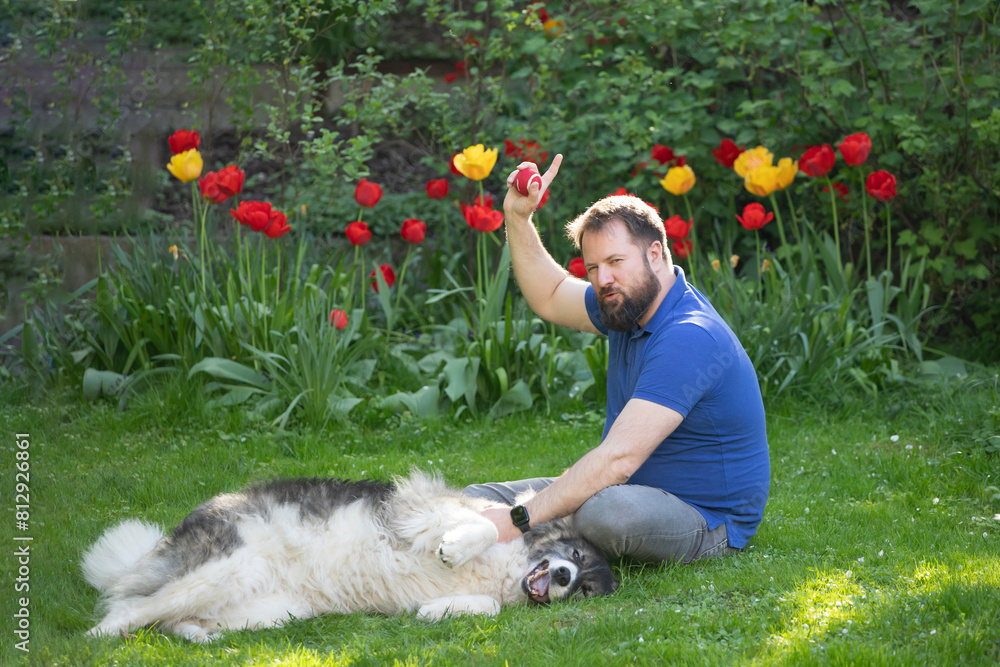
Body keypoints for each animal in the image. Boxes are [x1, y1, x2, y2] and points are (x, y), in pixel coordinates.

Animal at [84, 472, 616, 644]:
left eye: (585, 588)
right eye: (572, 554)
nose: (564, 575)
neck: (508, 570)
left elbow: (485, 607)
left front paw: (438, 611)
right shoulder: (422, 507)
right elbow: (483, 524)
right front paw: (455, 547)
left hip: (272, 610)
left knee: (166, 619)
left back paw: (201, 637)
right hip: (225, 568)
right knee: (132, 607)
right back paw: (94, 640)